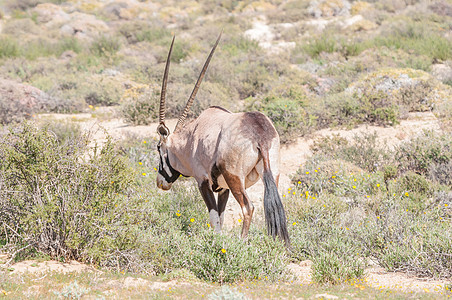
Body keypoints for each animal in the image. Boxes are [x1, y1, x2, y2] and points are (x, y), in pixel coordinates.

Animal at [155, 33, 290, 246]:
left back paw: (242, 243)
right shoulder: (223, 189)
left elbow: (214, 217)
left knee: (248, 207)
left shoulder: (203, 182)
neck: (191, 138)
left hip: (235, 179)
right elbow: (222, 215)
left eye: (159, 148)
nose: (161, 182)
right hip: (272, 173)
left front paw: (216, 242)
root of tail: (259, 134)